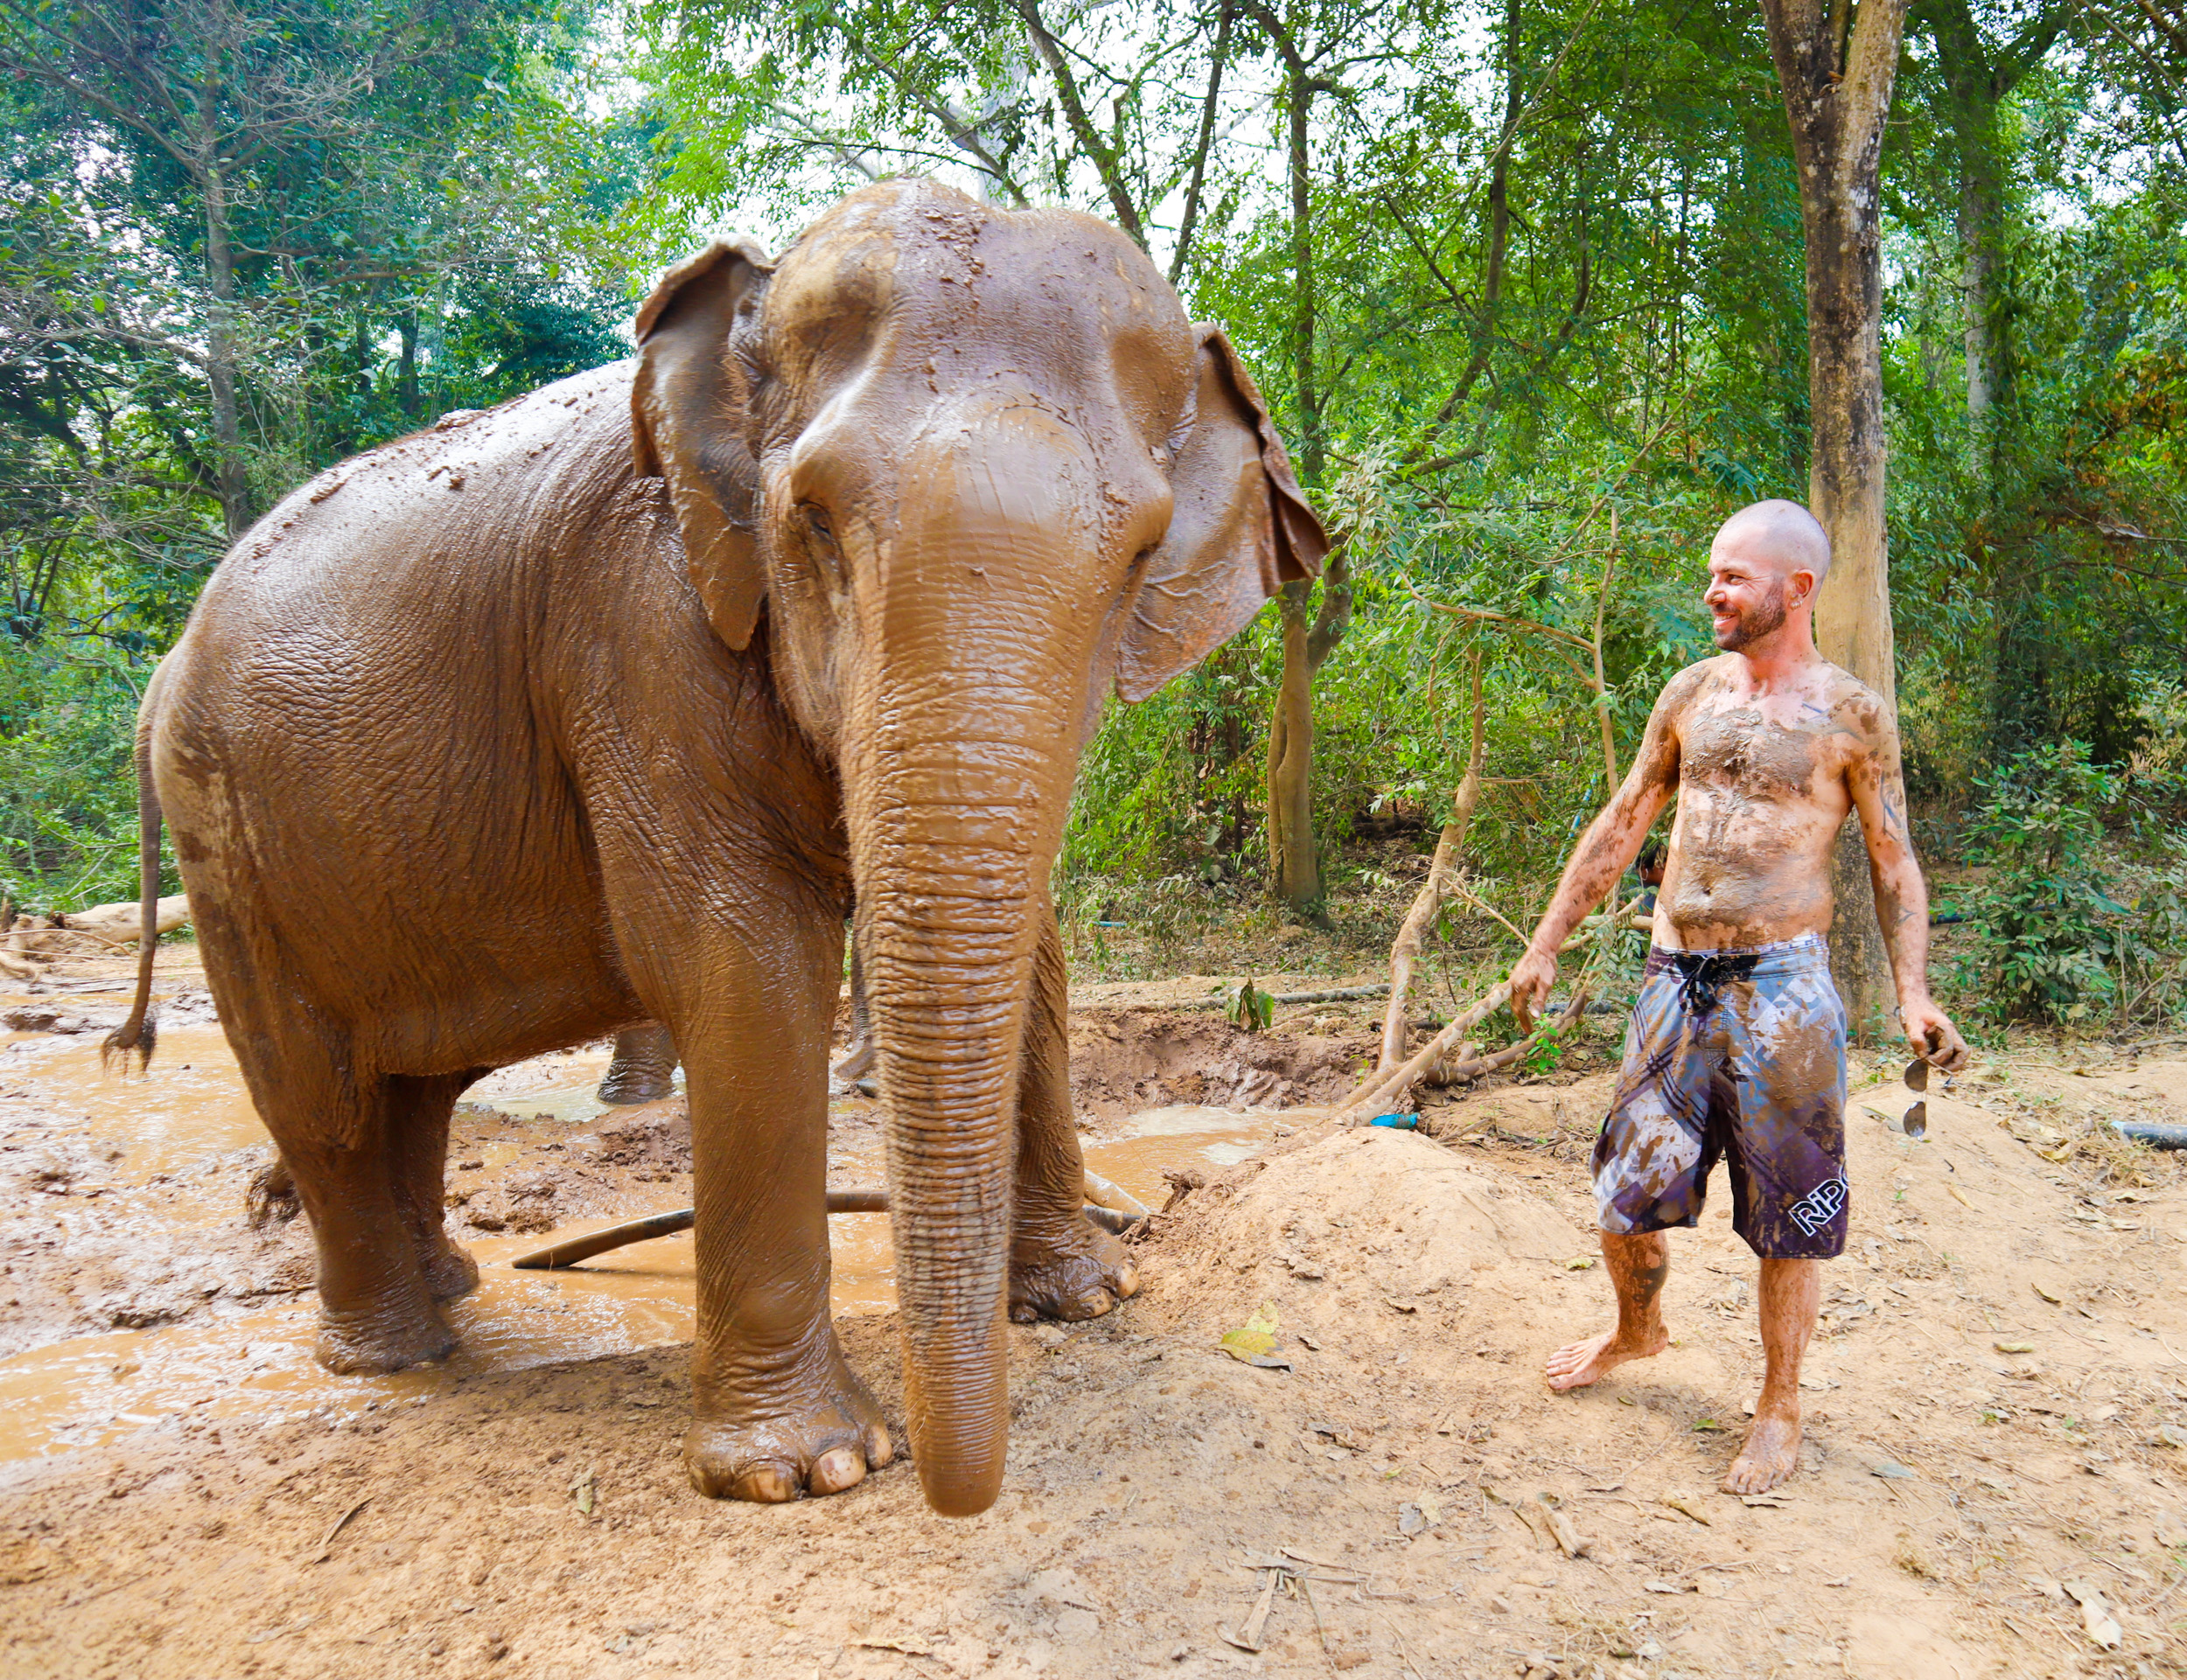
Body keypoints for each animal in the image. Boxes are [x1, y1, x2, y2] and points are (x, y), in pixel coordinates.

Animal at [105, 177, 1327, 1516]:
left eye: (1138, 557)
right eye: (816, 522)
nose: (960, 1492)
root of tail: (165, 669)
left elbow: (1037, 953)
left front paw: (1088, 1299)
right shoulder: (636, 632)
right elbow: (742, 960)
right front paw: (811, 1468)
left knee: (412, 1085)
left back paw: (449, 1291)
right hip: (228, 834)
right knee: (316, 1087)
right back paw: (394, 1354)